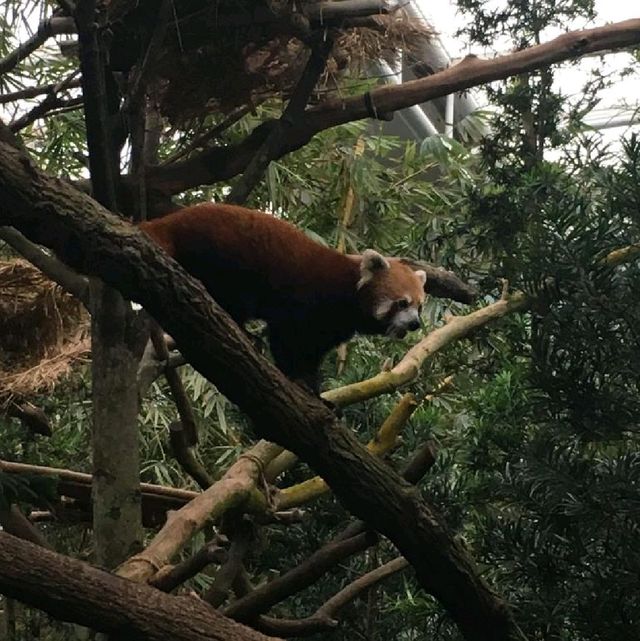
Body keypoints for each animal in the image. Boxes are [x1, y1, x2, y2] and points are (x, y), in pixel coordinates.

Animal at [141, 204, 430, 390]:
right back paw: (242, 332)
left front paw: (316, 391)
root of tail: (174, 220)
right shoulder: (303, 302)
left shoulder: (330, 328)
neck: (346, 292)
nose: (415, 324)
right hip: (222, 257)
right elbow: (286, 339)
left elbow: (313, 352)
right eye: (402, 303)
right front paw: (296, 378)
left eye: (419, 306)